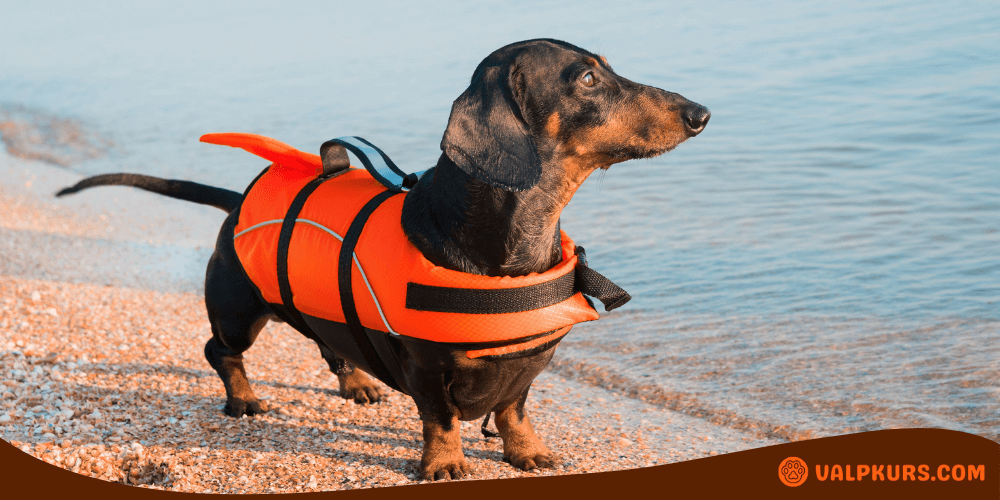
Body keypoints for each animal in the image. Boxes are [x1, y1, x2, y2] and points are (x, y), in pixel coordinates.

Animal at [58, 38, 708, 476]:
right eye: (588, 78)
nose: (700, 113)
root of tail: (237, 200)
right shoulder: (424, 363)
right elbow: (440, 418)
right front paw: (444, 464)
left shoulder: (529, 361)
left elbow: (515, 409)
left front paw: (527, 452)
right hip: (237, 310)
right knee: (220, 351)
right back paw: (243, 399)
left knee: (330, 341)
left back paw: (356, 382)